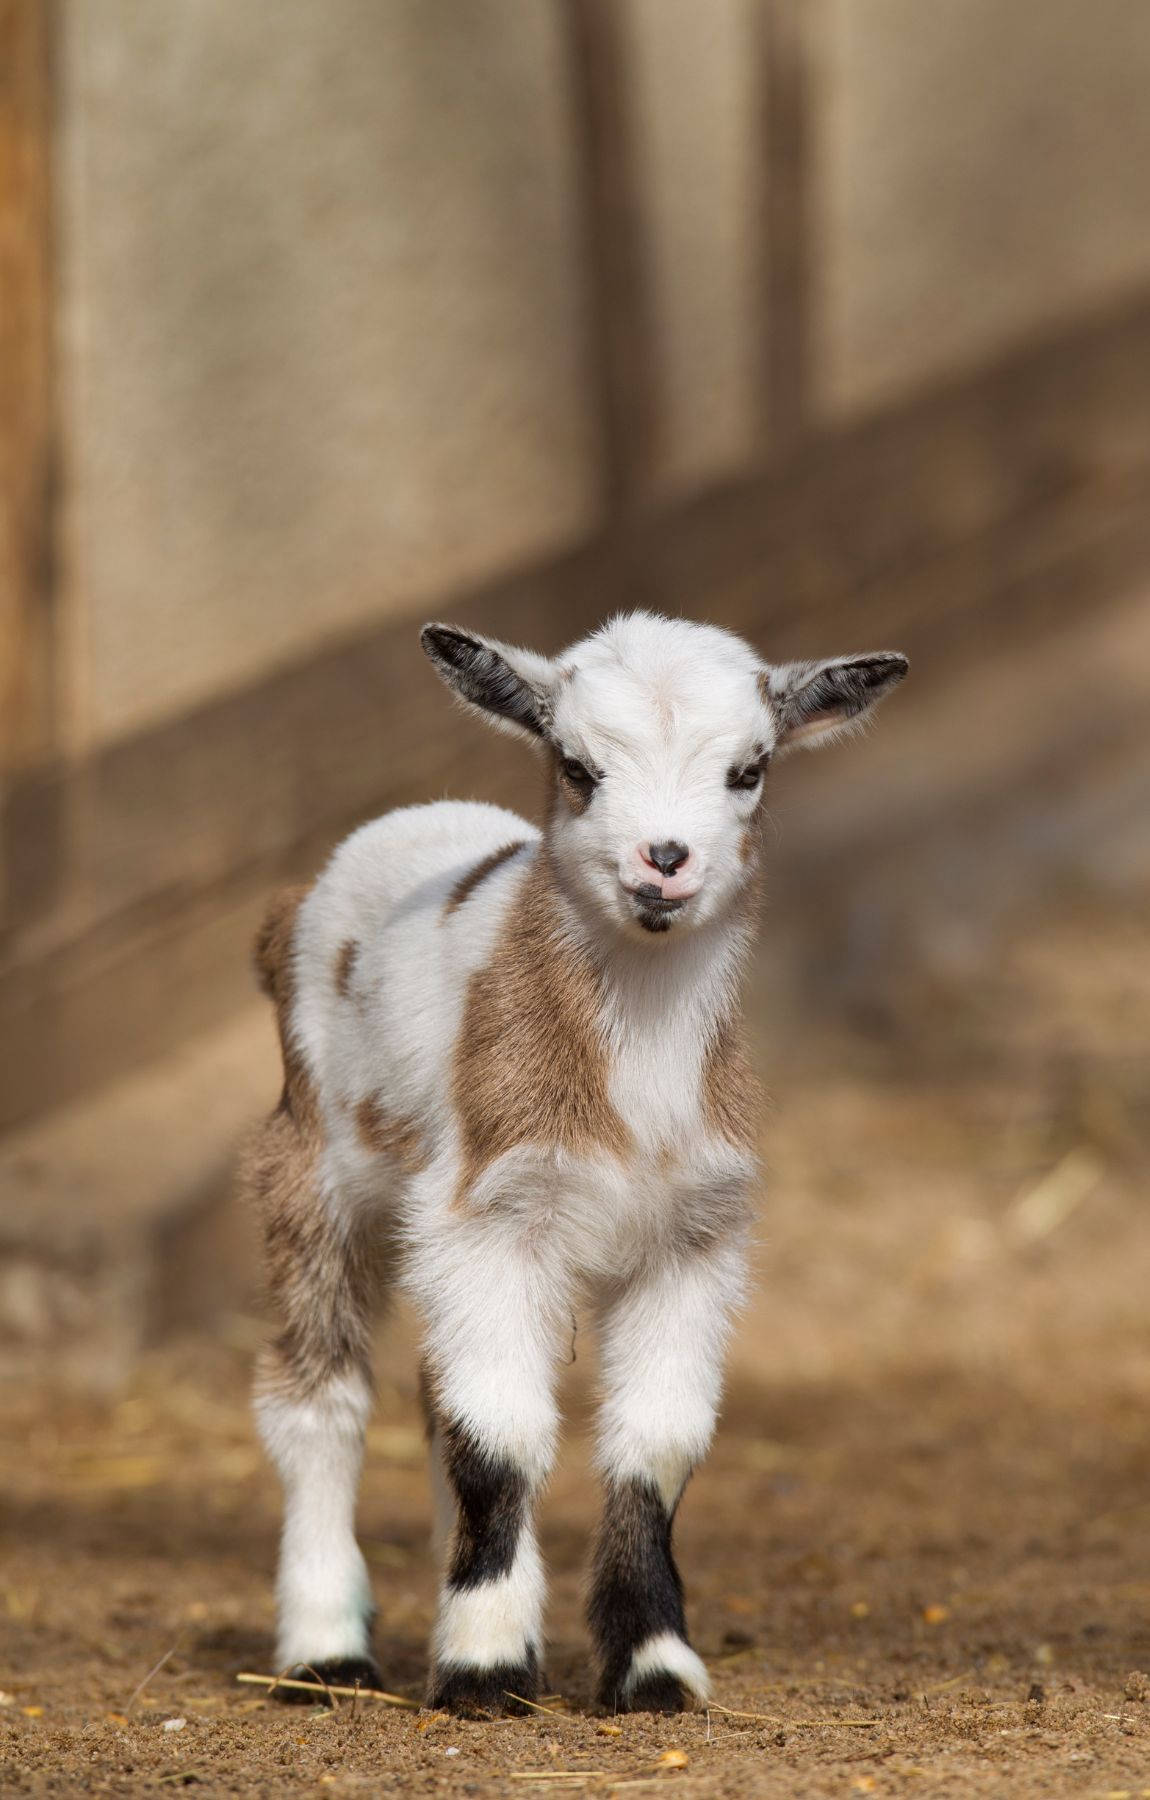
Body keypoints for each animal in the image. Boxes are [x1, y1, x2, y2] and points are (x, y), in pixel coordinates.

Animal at [244, 611, 907, 1716]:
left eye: (750, 769)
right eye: (577, 766)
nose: (664, 859)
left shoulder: (693, 1238)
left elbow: (653, 1446)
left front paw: (652, 1667)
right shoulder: (492, 1212)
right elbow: (500, 1439)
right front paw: (483, 1668)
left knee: (431, 1394)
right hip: (313, 1163)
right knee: (319, 1396)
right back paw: (325, 1651)